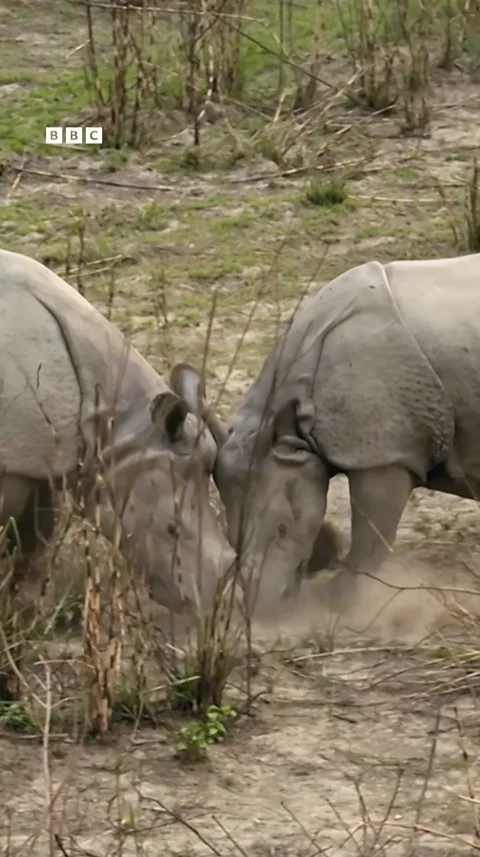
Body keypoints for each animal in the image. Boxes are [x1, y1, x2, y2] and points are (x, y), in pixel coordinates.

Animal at [192, 253, 480, 608]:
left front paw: (337, 603)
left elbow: (371, 538)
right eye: (230, 537)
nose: (265, 608)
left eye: (283, 528)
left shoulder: (385, 454)